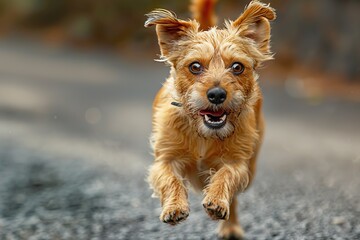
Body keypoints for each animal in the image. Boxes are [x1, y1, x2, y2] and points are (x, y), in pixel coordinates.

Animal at [143, 0, 276, 239]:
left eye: (237, 67)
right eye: (195, 66)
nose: (216, 94)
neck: (203, 133)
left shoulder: (238, 162)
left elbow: (225, 175)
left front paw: (216, 201)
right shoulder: (164, 160)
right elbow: (170, 179)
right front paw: (175, 206)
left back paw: (230, 225)